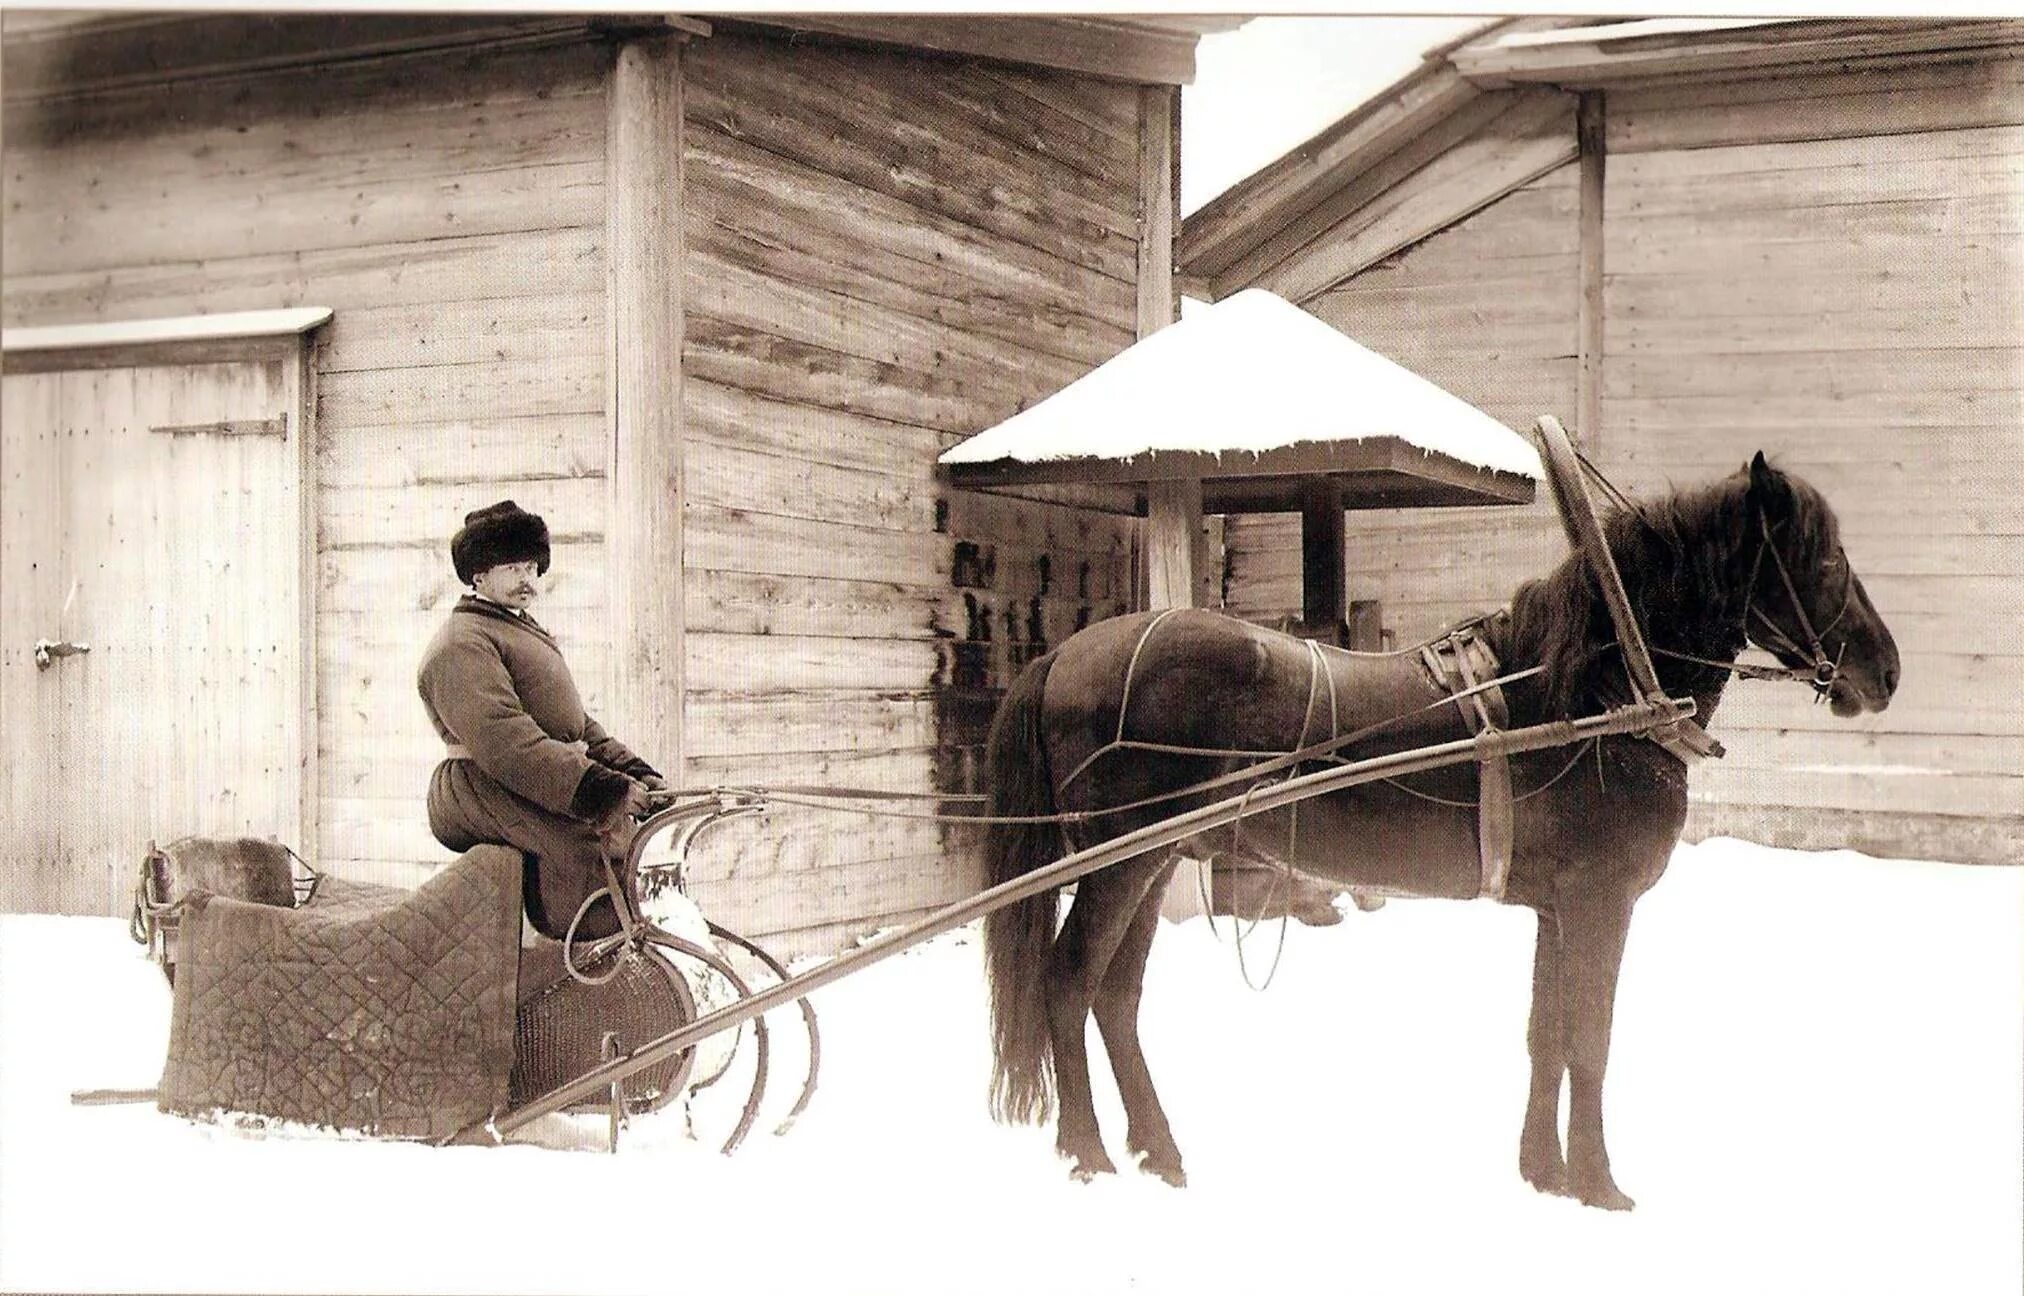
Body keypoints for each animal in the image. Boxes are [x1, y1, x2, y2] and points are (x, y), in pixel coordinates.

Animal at [979, 453, 1894, 1206]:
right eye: (1824, 559)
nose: (1885, 671)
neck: (1592, 694)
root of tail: (1066, 655)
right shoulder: (1600, 904)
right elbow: (1588, 1042)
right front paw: (1598, 1185)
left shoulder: (1556, 909)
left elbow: (1545, 1037)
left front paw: (1545, 1172)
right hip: (1120, 864)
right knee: (1068, 981)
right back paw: (1089, 1152)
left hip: (1152, 859)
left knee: (1115, 997)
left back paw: (1158, 1151)